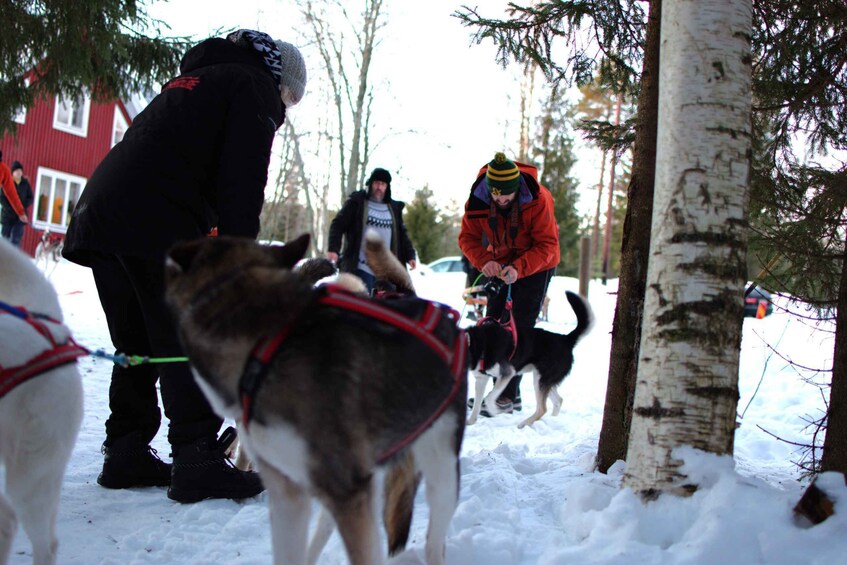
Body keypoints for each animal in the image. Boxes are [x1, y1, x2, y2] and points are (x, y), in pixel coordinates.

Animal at [468, 290, 592, 428]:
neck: (478, 343)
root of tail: (565, 339)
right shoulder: (481, 379)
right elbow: (476, 404)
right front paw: (470, 422)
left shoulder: (507, 373)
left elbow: (489, 398)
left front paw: (494, 410)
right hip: (543, 380)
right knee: (558, 400)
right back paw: (552, 419)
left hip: (540, 380)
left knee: (542, 409)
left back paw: (524, 424)